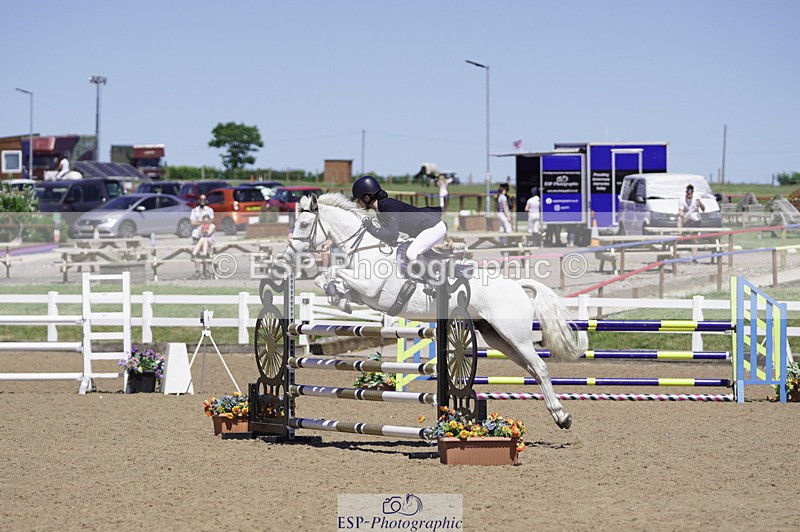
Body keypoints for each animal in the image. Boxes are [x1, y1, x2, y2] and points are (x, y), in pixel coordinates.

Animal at [284, 193, 581, 429]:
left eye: (304, 223)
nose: (289, 254)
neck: (364, 248)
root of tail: (517, 285)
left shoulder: (370, 287)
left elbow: (333, 273)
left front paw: (339, 296)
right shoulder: (364, 292)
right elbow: (329, 280)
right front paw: (340, 298)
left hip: (514, 334)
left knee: (540, 367)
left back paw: (562, 417)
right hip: (497, 337)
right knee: (531, 369)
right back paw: (559, 415)